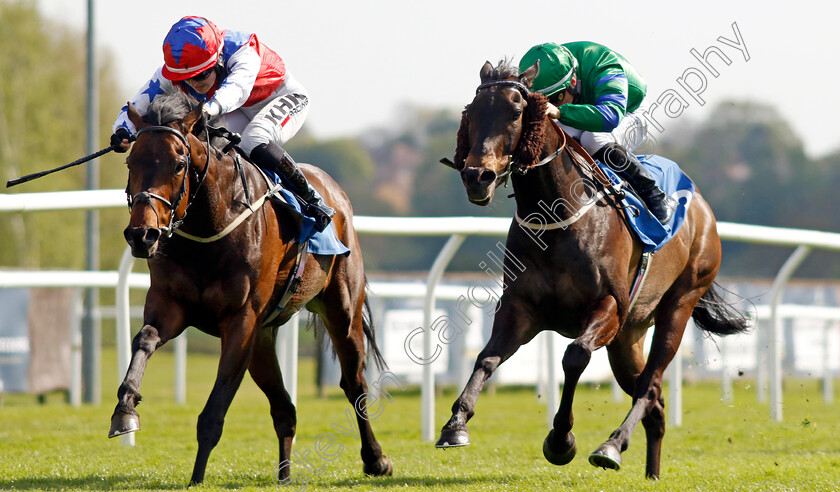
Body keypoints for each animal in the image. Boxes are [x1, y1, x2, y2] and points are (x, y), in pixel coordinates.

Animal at [106, 91, 392, 484]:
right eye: (131, 161)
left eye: (178, 164)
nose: (141, 235)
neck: (209, 227)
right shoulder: (172, 306)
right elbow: (144, 339)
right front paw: (125, 409)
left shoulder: (240, 323)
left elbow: (214, 411)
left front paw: (196, 479)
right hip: (264, 338)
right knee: (285, 408)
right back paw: (284, 475)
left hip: (341, 310)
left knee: (355, 385)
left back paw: (375, 459)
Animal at [436, 59, 744, 478]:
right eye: (472, 113)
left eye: (516, 112)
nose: (476, 176)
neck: (558, 218)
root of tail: (700, 204)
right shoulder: (520, 308)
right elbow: (486, 357)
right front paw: (456, 424)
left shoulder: (609, 306)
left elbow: (575, 356)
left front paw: (561, 439)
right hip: (628, 336)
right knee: (655, 404)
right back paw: (651, 473)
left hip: (679, 304)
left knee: (649, 386)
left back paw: (612, 446)